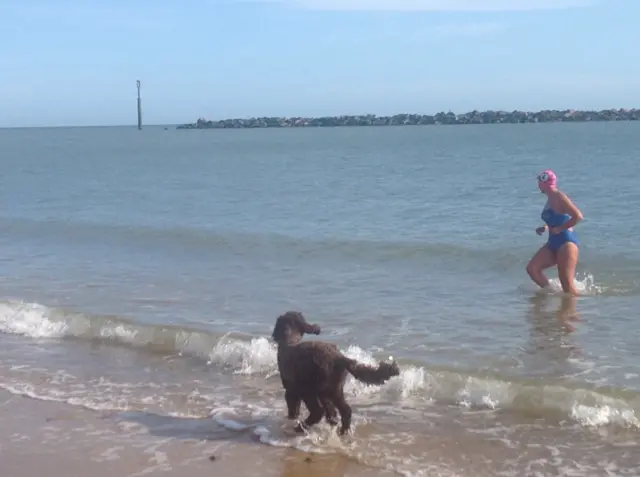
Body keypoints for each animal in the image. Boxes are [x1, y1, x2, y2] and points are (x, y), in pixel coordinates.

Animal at [270, 310, 400, 434]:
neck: (290, 341)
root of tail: (339, 357)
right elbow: (330, 411)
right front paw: (332, 421)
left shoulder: (292, 391)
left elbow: (293, 407)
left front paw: (292, 418)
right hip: (333, 389)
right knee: (344, 410)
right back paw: (343, 430)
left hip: (310, 390)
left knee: (318, 411)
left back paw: (301, 427)